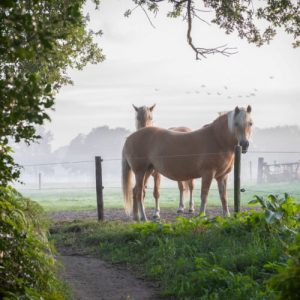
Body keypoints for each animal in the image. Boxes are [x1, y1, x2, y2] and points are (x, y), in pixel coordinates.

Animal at [121, 105, 251, 220]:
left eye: (250, 123)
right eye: (236, 124)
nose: (244, 144)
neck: (217, 139)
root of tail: (130, 138)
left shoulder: (222, 176)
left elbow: (223, 196)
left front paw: (226, 216)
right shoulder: (208, 174)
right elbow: (204, 195)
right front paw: (201, 215)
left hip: (148, 171)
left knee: (136, 191)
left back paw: (136, 217)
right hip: (140, 172)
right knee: (139, 193)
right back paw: (143, 218)